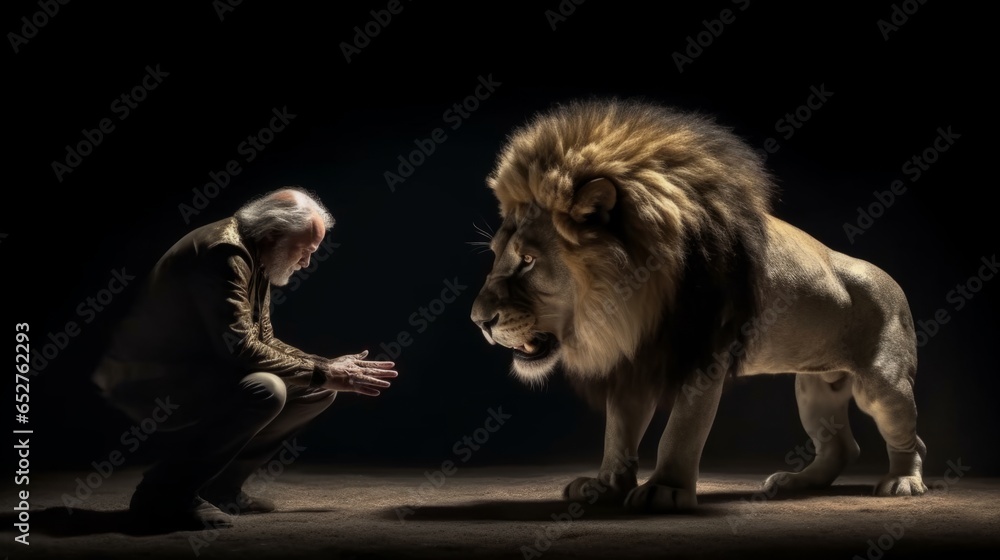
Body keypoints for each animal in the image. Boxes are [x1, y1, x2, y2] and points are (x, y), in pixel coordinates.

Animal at [469, 98, 927, 511]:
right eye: (495, 255)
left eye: (528, 260)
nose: (478, 320)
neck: (627, 303)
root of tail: (891, 280)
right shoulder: (635, 358)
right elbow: (618, 432)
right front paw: (606, 486)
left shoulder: (704, 354)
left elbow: (682, 430)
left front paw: (665, 490)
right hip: (814, 389)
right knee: (841, 447)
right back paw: (795, 483)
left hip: (882, 384)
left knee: (908, 435)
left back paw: (902, 481)